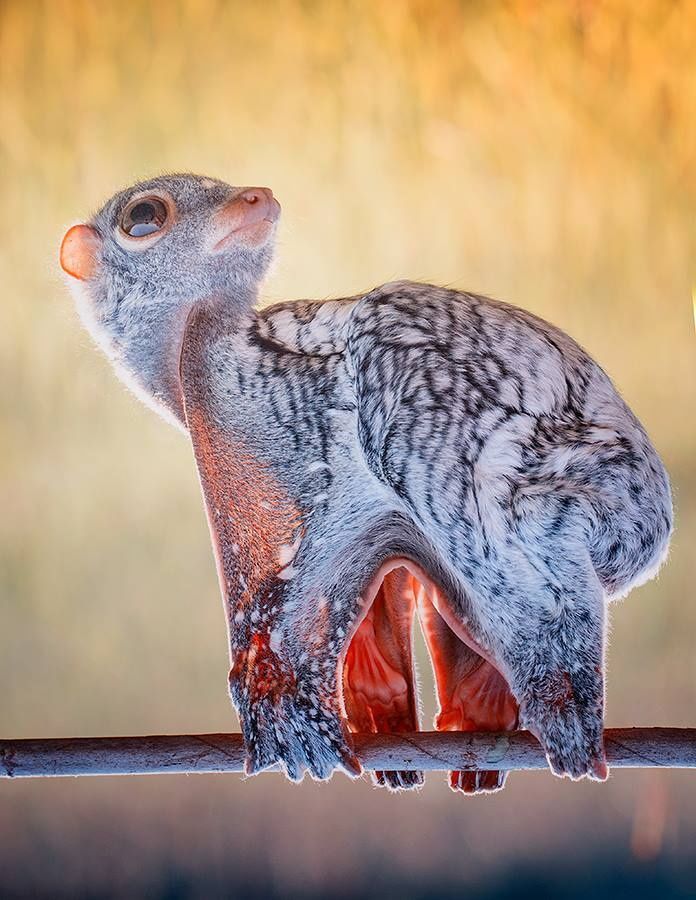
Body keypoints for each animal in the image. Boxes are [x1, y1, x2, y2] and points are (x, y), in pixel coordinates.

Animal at [61, 176, 676, 796]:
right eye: (144, 218)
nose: (256, 196)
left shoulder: (227, 375)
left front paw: (276, 684)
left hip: (592, 483)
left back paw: (561, 700)